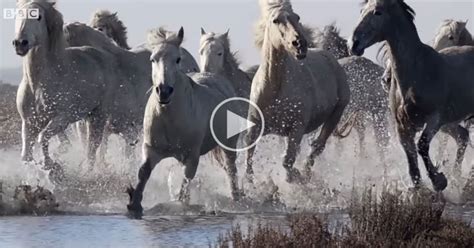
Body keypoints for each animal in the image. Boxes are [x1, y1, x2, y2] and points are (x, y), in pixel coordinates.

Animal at [126, 26, 243, 217]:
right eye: (153, 59)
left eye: (178, 59)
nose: (164, 91)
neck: (170, 118)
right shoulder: (151, 149)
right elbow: (143, 173)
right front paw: (134, 204)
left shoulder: (191, 156)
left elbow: (186, 184)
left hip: (228, 145)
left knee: (231, 170)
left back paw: (236, 198)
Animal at [246, 0, 350, 182]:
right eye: (276, 20)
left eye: (297, 17)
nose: (300, 44)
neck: (273, 89)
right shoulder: (255, 128)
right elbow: (248, 162)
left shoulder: (296, 129)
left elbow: (287, 162)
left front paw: (295, 178)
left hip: (336, 114)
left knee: (317, 147)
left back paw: (307, 174)